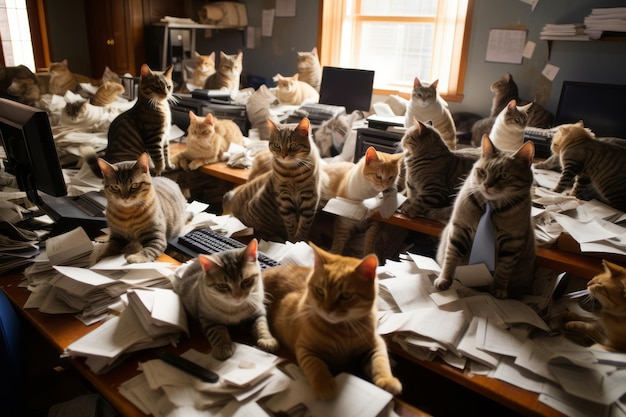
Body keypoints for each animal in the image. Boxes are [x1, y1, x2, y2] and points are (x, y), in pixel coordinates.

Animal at [262, 242, 400, 398]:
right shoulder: (305, 349)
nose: (327, 310)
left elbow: (380, 361)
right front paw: (324, 385)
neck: (343, 331)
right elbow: (316, 365)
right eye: (320, 291)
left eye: (346, 296)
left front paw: (387, 380)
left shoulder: (376, 344)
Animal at [432, 135, 532, 298]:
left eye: (504, 176)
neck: (491, 205)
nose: (486, 185)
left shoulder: (512, 242)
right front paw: (444, 279)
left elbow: (504, 269)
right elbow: (451, 257)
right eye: (483, 172)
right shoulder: (460, 229)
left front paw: (499, 288)